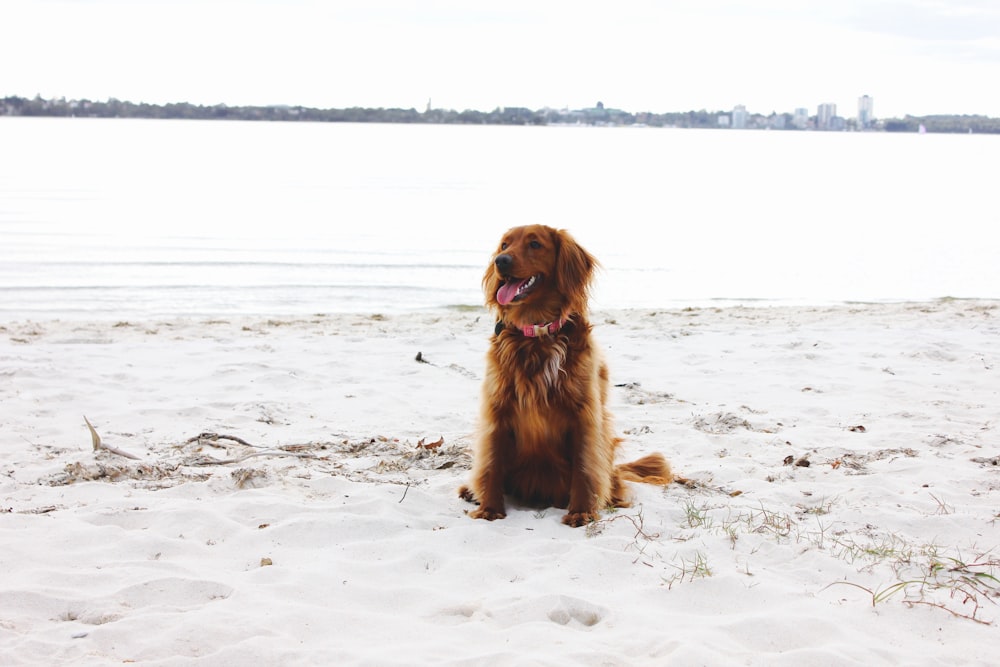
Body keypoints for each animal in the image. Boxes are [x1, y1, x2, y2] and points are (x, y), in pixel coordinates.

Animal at [460, 224, 672, 528]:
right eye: (504, 245)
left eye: (535, 244)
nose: (501, 262)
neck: (537, 333)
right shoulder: (496, 410)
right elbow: (491, 463)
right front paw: (489, 508)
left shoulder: (584, 414)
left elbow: (585, 466)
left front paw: (581, 512)